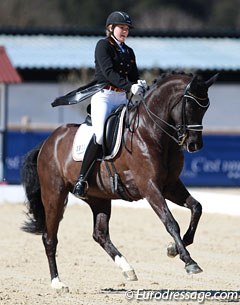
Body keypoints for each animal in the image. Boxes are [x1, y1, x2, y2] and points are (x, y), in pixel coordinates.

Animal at [21, 72, 218, 290]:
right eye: (190, 105)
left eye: (205, 107)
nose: (195, 144)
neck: (151, 132)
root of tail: (48, 142)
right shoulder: (150, 187)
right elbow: (170, 222)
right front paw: (189, 262)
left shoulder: (170, 185)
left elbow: (196, 208)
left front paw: (173, 248)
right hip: (53, 194)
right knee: (50, 238)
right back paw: (57, 282)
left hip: (98, 198)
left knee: (100, 234)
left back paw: (128, 269)